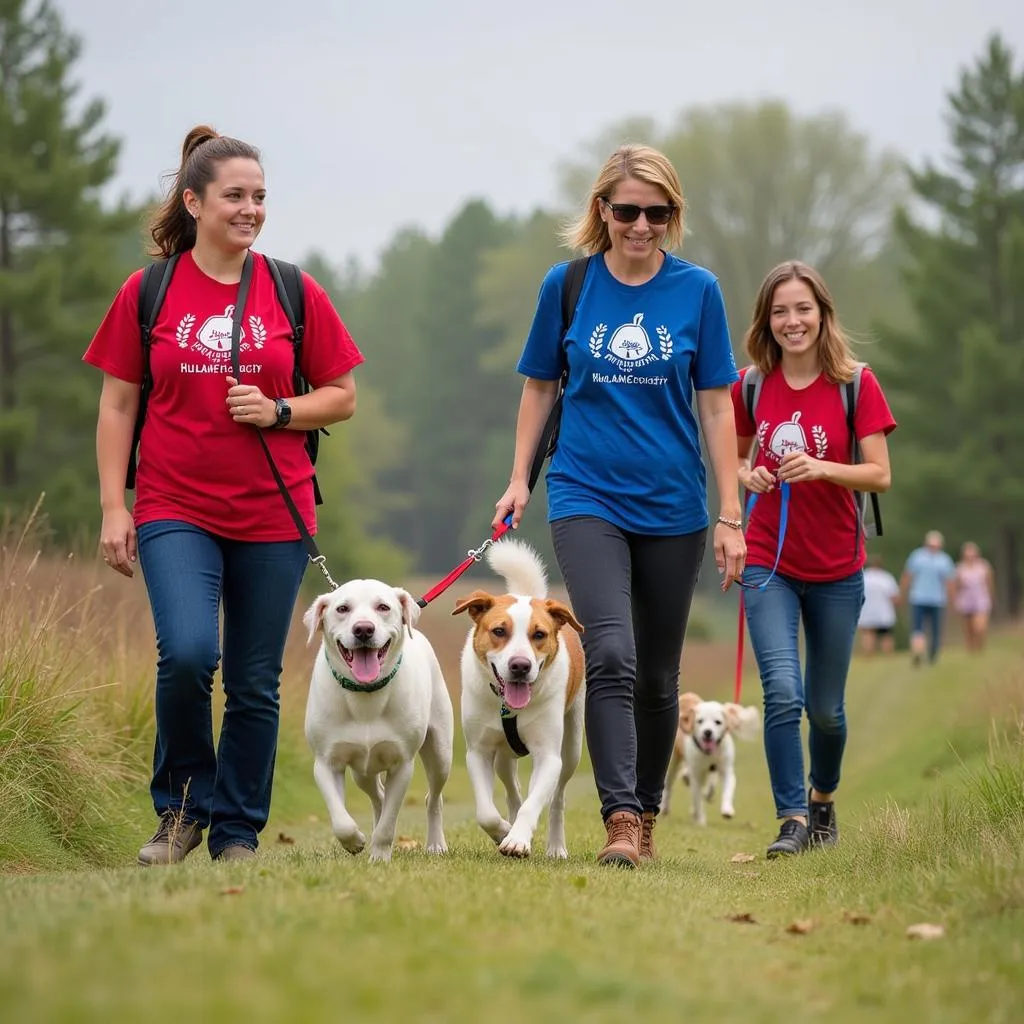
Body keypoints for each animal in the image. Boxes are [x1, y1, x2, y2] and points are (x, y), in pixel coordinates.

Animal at [299, 581, 452, 860]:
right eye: (342, 608)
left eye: (383, 607)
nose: (363, 629)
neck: (365, 694)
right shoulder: (326, 762)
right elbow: (341, 820)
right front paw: (355, 841)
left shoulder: (402, 764)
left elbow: (388, 823)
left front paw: (380, 856)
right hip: (363, 772)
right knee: (378, 796)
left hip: (440, 753)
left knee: (433, 798)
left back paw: (436, 844)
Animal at [454, 540, 589, 860]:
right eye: (498, 631)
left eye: (539, 634)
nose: (520, 665)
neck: (509, 707)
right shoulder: (478, 751)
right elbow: (485, 812)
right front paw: (504, 831)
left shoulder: (549, 755)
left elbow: (535, 802)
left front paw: (517, 840)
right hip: (504, 757)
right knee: (512, 789)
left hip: (572, 747)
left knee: (557, 798)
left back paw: (555, 847)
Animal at [663, 688, 761, 823]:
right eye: (700, 721)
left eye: (718, 722)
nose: (708, 732)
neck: (709, 753)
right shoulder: (697, 774)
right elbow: (697, 798)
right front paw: (700, 820)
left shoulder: (725, 769)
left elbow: (727, 789)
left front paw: (727, 810)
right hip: (673, 761)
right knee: (669, 784)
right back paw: (665, 807)